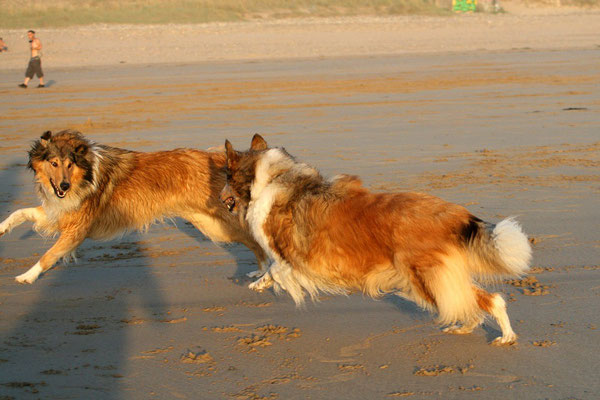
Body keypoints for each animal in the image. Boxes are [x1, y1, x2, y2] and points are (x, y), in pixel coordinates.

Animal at [0, 130, 268, 282]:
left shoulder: (77, 228)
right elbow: (20, 212)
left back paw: (264, 272)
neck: (85, 175)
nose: (63, 187)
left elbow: (49, 255)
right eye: (54, 163)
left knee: (256, 239)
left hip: (221, 224)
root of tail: (225, 159)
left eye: (69, 163)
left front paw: (26, 277)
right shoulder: (61, 213)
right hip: (210, 225)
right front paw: (2, 228)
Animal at [219, 136, 528, 346]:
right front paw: (258, 280)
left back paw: (501, 336)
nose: (221, 199)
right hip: (439, 276)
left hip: (426, 277)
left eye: (226, 174)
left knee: (482, 300)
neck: (272, 179)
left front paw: (258, 282)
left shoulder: (288, 255)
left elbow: (274, 267)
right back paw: (481, 331)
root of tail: (453, 213)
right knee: (482, 299)